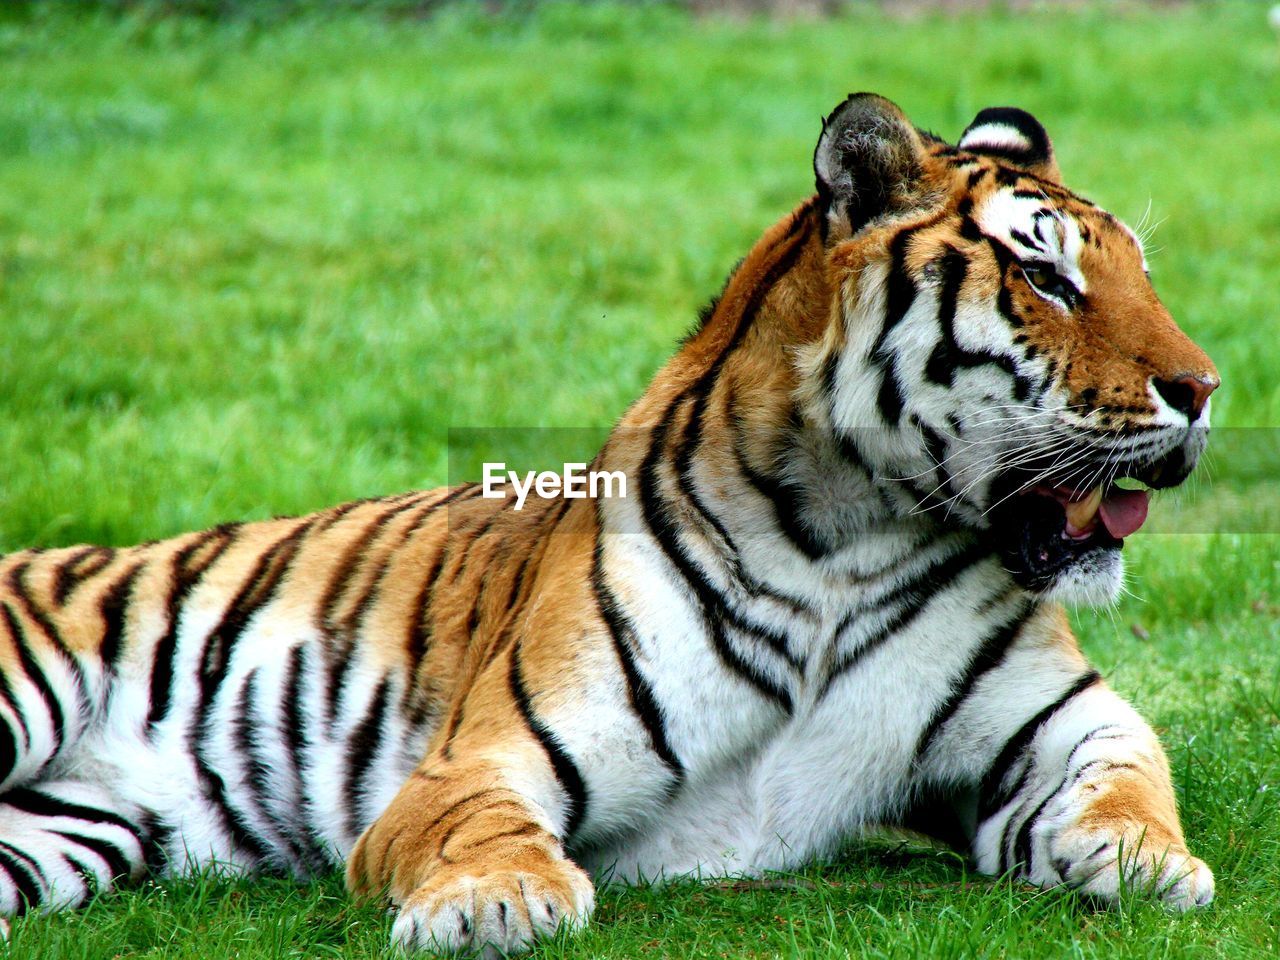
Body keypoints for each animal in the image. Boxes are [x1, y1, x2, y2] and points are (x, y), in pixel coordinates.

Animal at [0, 94, 1218, 952]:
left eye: (1139, 274)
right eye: (1046, 277)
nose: (1205, 390)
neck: (847, 539)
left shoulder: (1058, 718)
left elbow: (1129, 770)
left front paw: (1141, 859)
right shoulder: (475, 761)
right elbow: (483, 828)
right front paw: (495, 903)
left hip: (64, 834)